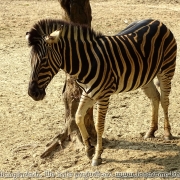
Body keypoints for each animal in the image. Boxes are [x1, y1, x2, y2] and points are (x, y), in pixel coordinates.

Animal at [26, 18, 176, 166]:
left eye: (44, 61)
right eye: (30, 60)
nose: (32, 93)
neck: (86, 61)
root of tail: (157, 21)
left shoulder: (103, 95)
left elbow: (99, 125)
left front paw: (97, 156)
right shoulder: (87, 92)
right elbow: (78, 117)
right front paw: (89, 149)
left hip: (166, 70)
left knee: (164, 100)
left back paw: (167, 133)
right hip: (145, 78)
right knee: (155, 98)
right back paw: (151, 131)